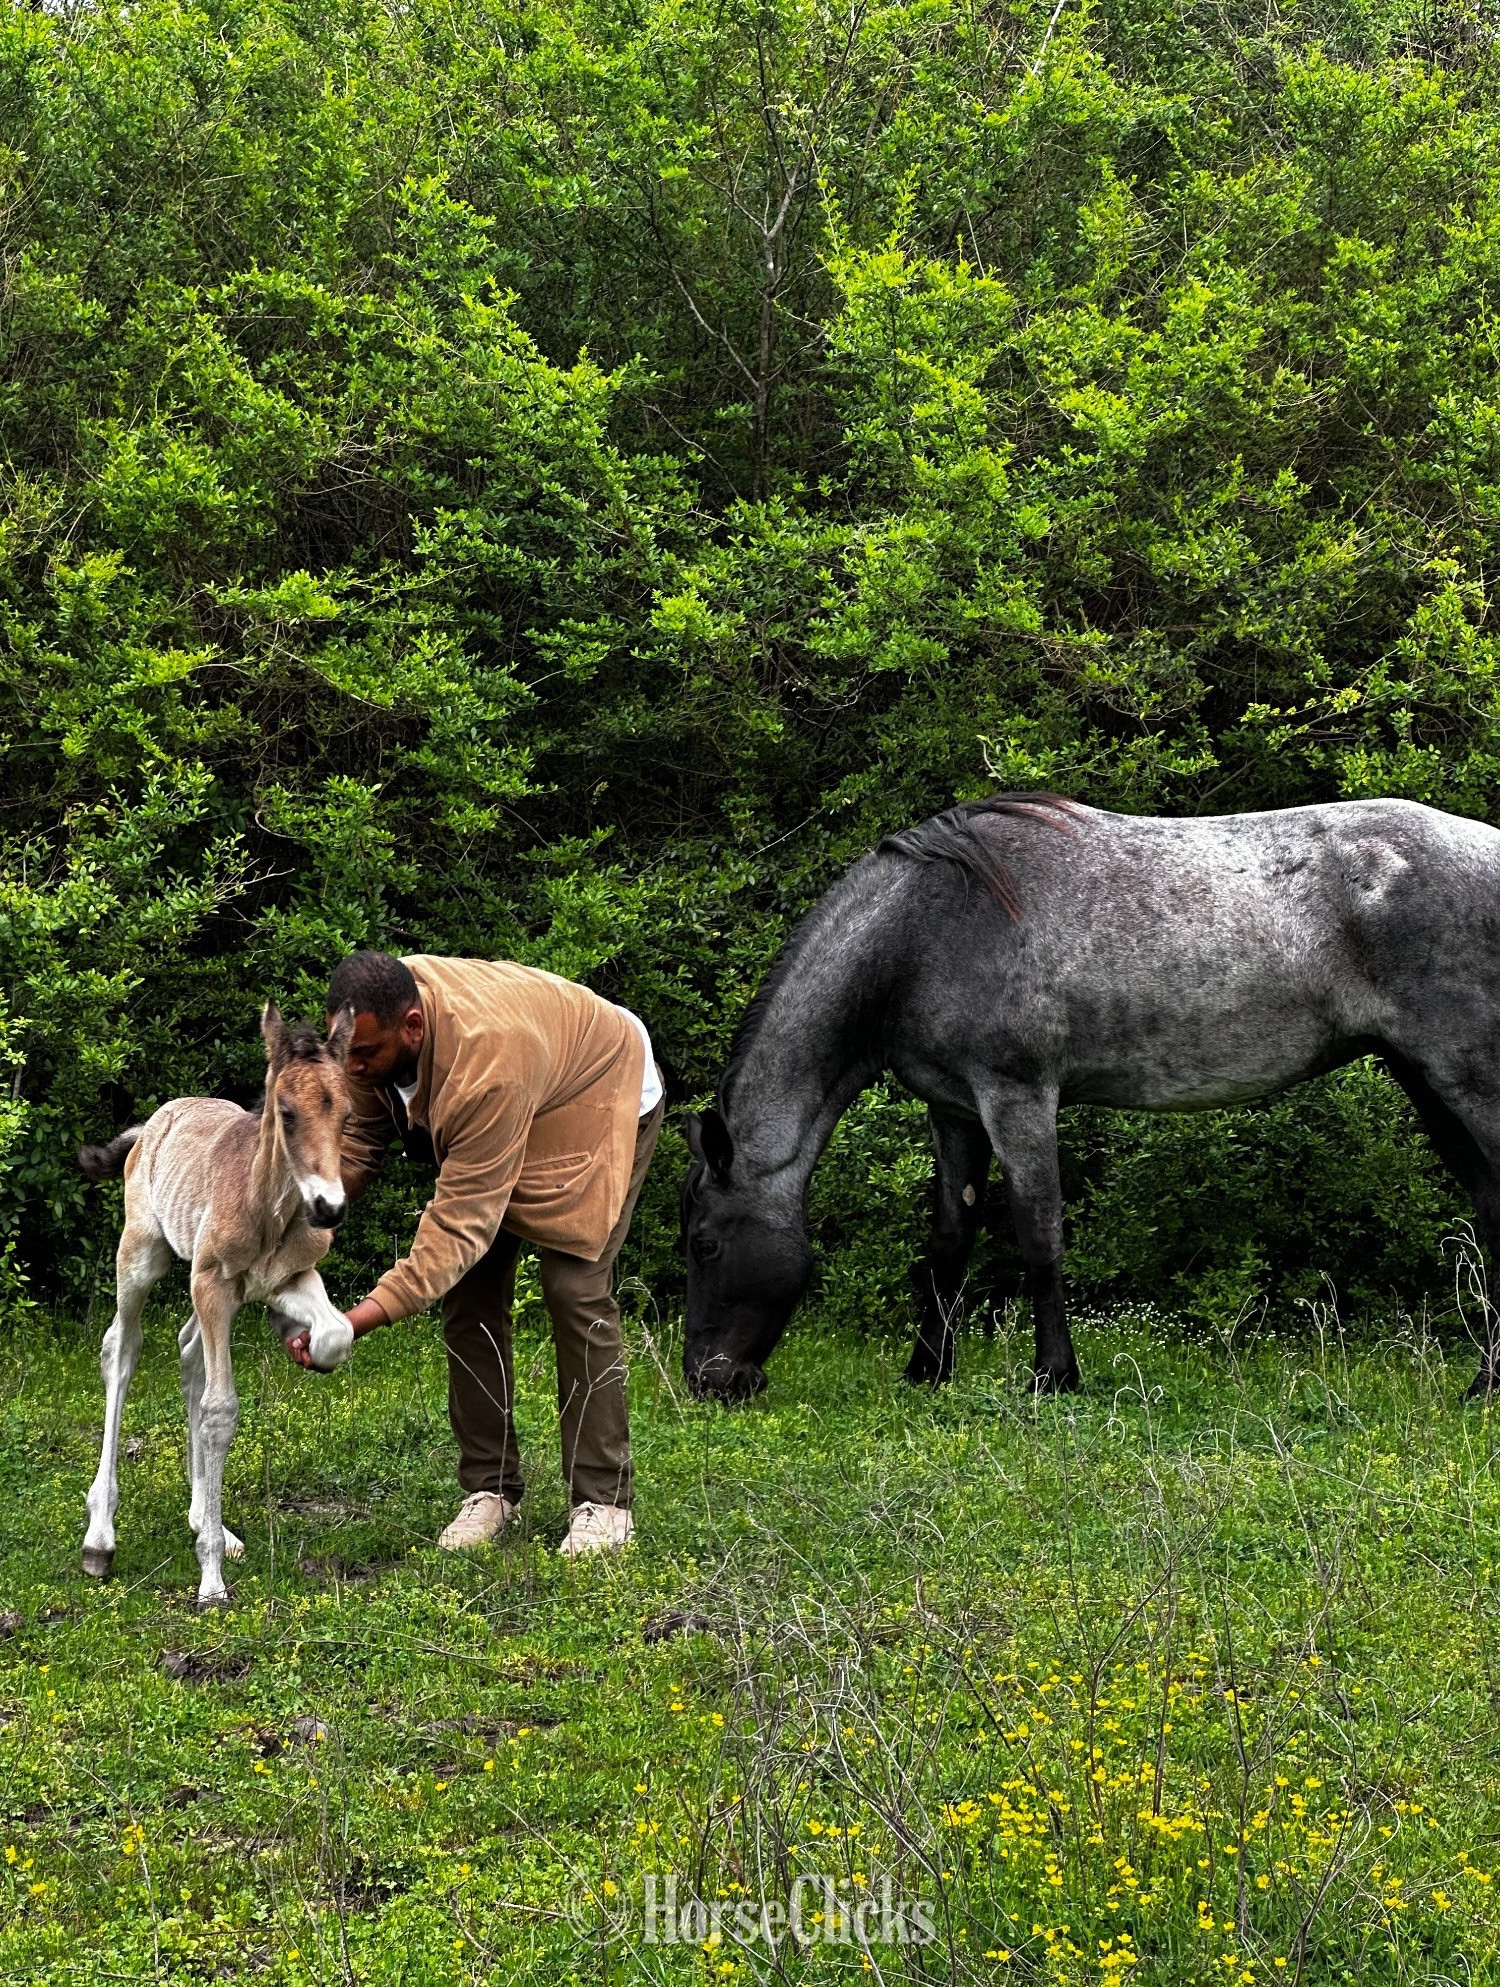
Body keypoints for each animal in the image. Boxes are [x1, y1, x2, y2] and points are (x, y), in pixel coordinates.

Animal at [78, 1004, 358, 1607]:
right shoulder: (211, 1284)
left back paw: (207, 1519)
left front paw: (298, 1338)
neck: (268, 1208)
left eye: (347, 1114)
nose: (328, 1208)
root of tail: (151, 1123)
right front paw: (210, 1580)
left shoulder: (289, 1278)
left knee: (186, 1349)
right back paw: (101, 1538)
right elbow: (220, 1409)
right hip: (140, 1255)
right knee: (121, 1349)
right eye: (286, 1112)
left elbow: (336, 1335)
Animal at [682, 794, 1500, 1403]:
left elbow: (1038, 1235)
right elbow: (950, 1239)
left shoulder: (1017, 1098)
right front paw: (926, 1372)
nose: (709, 1380)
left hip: (1466, 1078)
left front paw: (1054, 1377)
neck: (924, 929)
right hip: (1427, 1081)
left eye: (706, 1242)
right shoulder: (954, 1111)